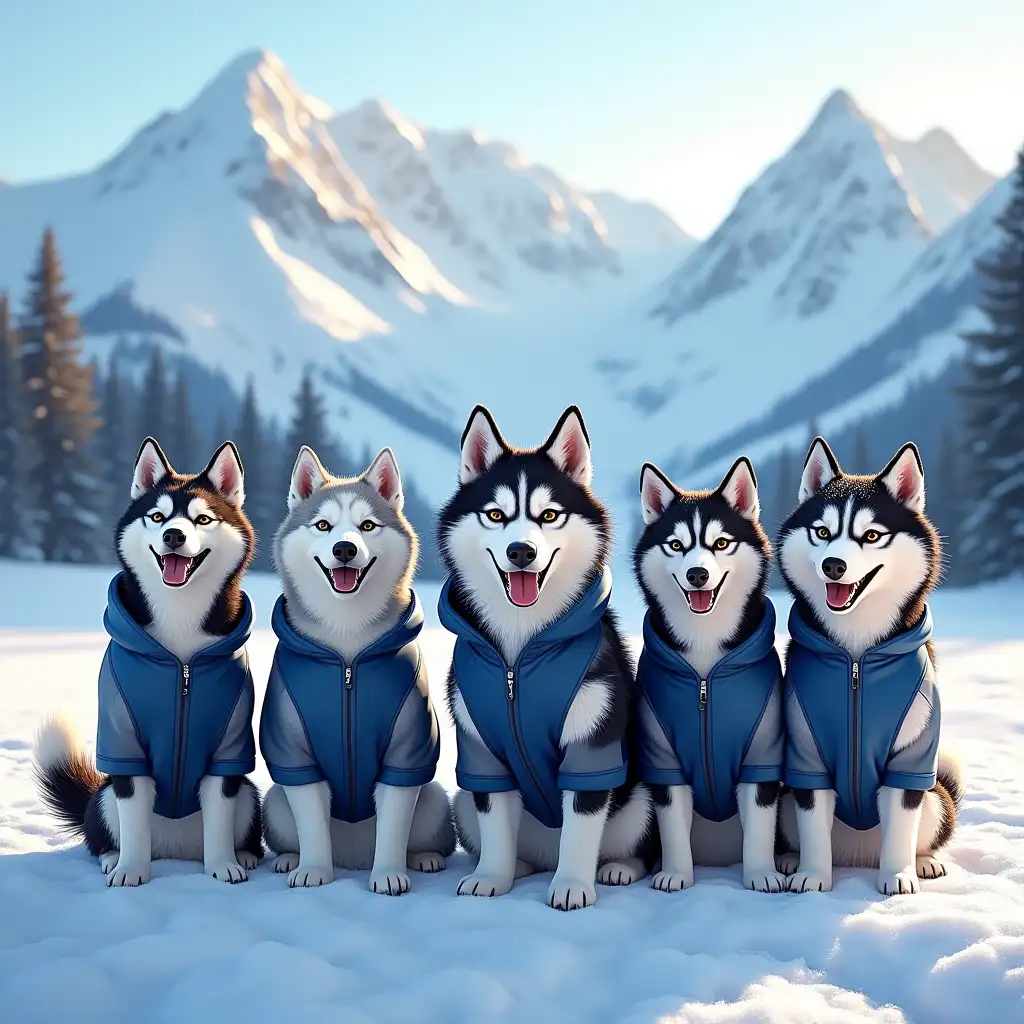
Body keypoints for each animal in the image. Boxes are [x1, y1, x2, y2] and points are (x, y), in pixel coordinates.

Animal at [37, 440, 264, 888]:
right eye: (157, 517)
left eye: (203, 518)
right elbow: (134, 823)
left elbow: (219, 820)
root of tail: (177, 847)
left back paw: (245, 855)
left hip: (248, 792)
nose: (173, 535)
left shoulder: (228, 749)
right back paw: (112, 857)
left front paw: (223, 865)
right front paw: (130, 871)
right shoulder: (124, 746)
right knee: (108, 831)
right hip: (104, 795)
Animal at [262, 446, 454, 888]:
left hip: (435, 797)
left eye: (367, 525)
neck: (347, 652)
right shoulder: (294, 752)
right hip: (275, 799)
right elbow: (312, 825)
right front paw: (313, 871)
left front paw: (388, 876)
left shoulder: (407, 749)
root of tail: (353, 855)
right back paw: (289, 860)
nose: (345, 550)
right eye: (323, 525)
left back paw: (424, 859)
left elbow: (394, 825)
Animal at [438, 403, 647, 909]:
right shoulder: (481, 753)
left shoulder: (592, 745)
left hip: (643, 796)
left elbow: (581, 831)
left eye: (549, 514)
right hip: (461, 801)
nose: (521, 551)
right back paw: (517, 867)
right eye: (495, 514)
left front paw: (572, 885)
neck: (520, 651)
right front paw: (491, 877)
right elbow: (495, 823)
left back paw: (618, 868)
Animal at [630, 460, 782, 892]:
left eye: (721, 543)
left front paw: (761, 875)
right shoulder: (663, 758)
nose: (697, 574)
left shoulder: (762, 754)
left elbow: (759, 828)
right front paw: (676, 875)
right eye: (675, 545)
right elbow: (673, 831)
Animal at [778, 440, 962, 897]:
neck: (857, 656)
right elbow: (812, 826)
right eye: (822, 532)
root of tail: (857, 853)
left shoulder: (911, 760)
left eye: (872, 535)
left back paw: (924, 862)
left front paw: (897, 877)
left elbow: (901, 827)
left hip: (936, 797)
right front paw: (813, 875)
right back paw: (789, 860)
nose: (833, 565)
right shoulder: (806, 758)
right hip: (786, 798)